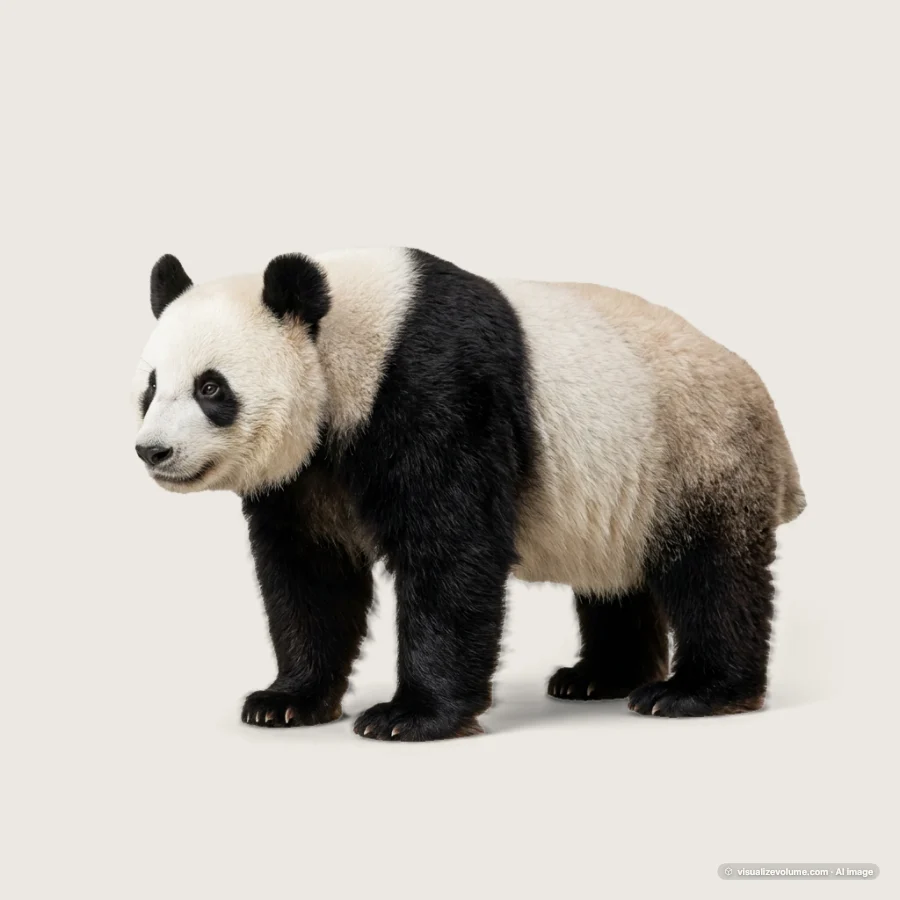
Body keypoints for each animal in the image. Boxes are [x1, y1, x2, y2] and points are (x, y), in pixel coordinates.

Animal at [133, 248, 805, 741]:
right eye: (151, 386)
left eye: (212, 388)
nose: (152, 451)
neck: (350, 335)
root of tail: (763, 398)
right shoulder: (308, 472)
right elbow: (310, 572)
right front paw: (285, 701)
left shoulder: (438, 387)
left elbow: (452, 550)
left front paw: (409, 716)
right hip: (627, 483)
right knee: (616, 581)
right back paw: (597, 678)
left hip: (696, 451)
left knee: (714, 575)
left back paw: (694, 692)